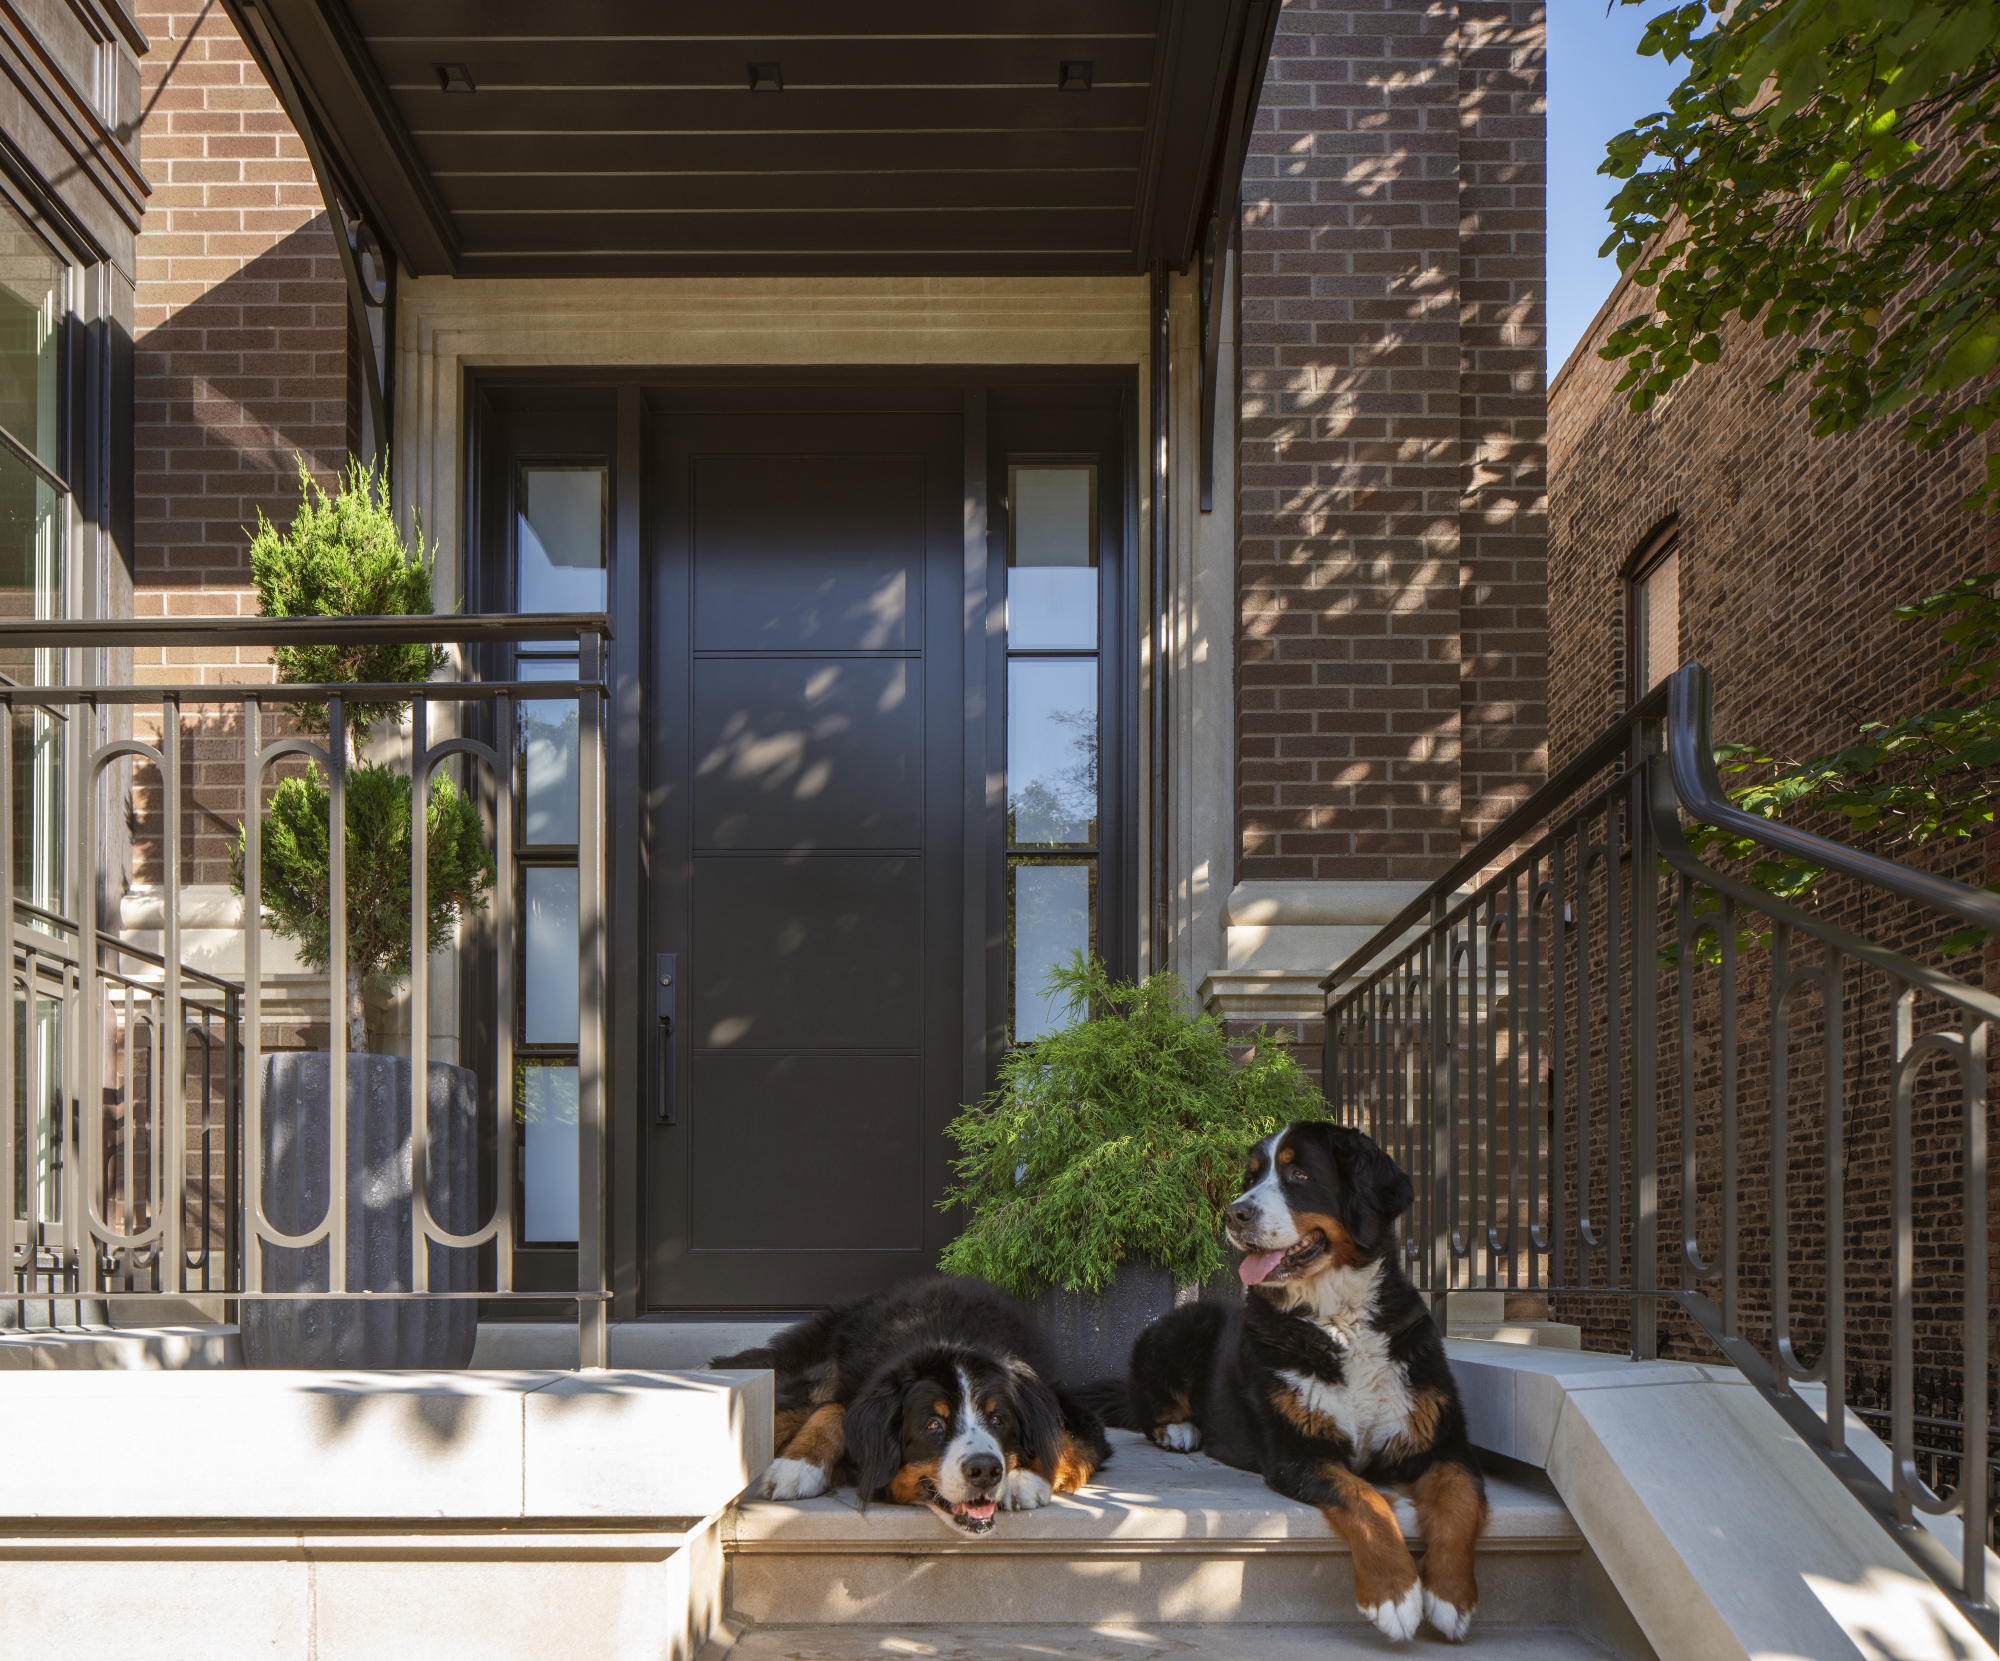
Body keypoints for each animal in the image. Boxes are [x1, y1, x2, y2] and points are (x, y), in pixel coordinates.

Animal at [712, 1280, 1112, 1544]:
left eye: (999, 1419)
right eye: (933, 1424)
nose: (985, 1470)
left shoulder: (1067, 1404)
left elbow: (1062, 1436)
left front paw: (1023, 1477)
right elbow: (833, 1413)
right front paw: (798, 1467)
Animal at [1088, 1128, 1496, 1648]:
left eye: (1299, 1174)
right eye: (1251, 1178)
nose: (1234, 1214)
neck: (1338, 1320)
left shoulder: (1442, 1443)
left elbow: (1460, 1501)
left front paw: (1450, 1596)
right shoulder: (1298, 1452)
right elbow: (1366, 1499)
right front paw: (1394, 1594)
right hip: (1183, 1325)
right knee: (1149, 1412)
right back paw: (1182, 1431)